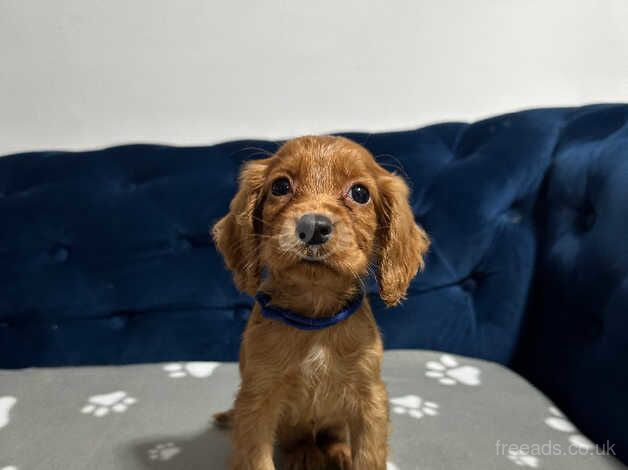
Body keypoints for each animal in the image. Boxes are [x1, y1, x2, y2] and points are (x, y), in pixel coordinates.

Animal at [213, 134, 430, 468]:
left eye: (360, 193)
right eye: (280, 186)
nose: (313, 226)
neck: (315, 321)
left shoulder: (370, 399)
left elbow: (368, 456)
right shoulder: (256, 402)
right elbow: (257, 459)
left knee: (332, 435)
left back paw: (337, 452)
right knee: (298, 439)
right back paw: (304, 454)